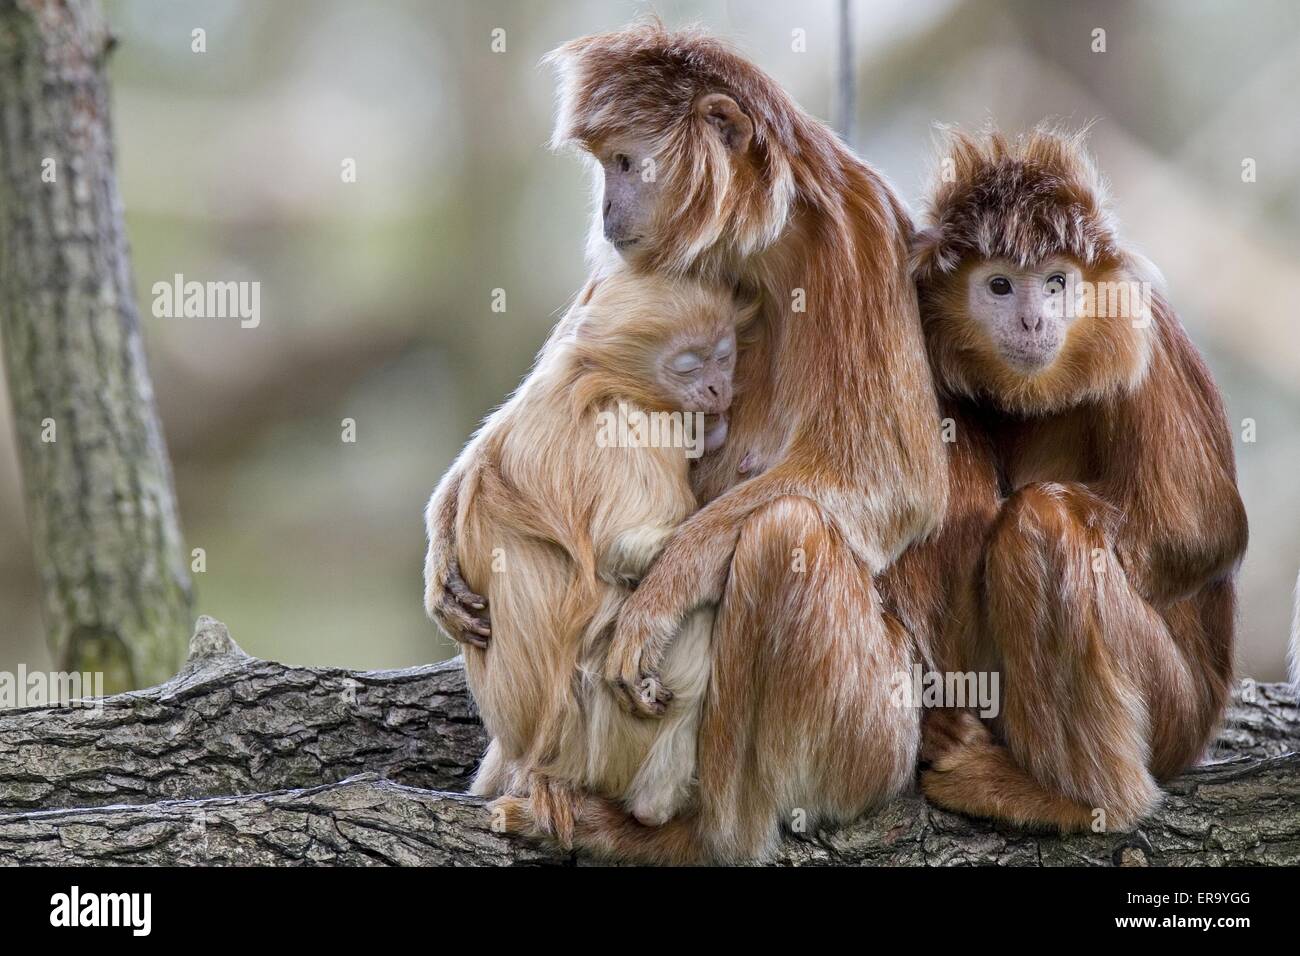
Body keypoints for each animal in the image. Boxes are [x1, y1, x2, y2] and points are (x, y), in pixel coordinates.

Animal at [427, 271, 750, 836]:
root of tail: (528, 757)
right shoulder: (636, 427)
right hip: (600, 742)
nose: (717, 390)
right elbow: (626, 552)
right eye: (689, 365)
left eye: (723, 357)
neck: (593, 381)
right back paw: (656, 802)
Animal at [900, 126, 1248, 832]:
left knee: (1041, 521)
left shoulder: (1148, 334)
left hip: (1173, 710)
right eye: (1001, 286)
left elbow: (1198, 530)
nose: (1034, 320)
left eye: (1057, 282)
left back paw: (1079, 800)